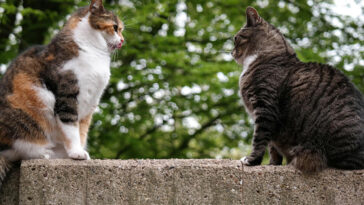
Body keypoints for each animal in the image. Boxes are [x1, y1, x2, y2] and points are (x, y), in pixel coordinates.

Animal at [0, 0, 124, 187]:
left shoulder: (89, 106)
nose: (123, 40)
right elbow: (71, 127)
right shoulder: (68, 97)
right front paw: (77, 153)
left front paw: (77, 152)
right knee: (21, 150)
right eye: (115, 27)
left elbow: (82, 131)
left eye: (121, 29)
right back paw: (46, 154)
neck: (94, 52)